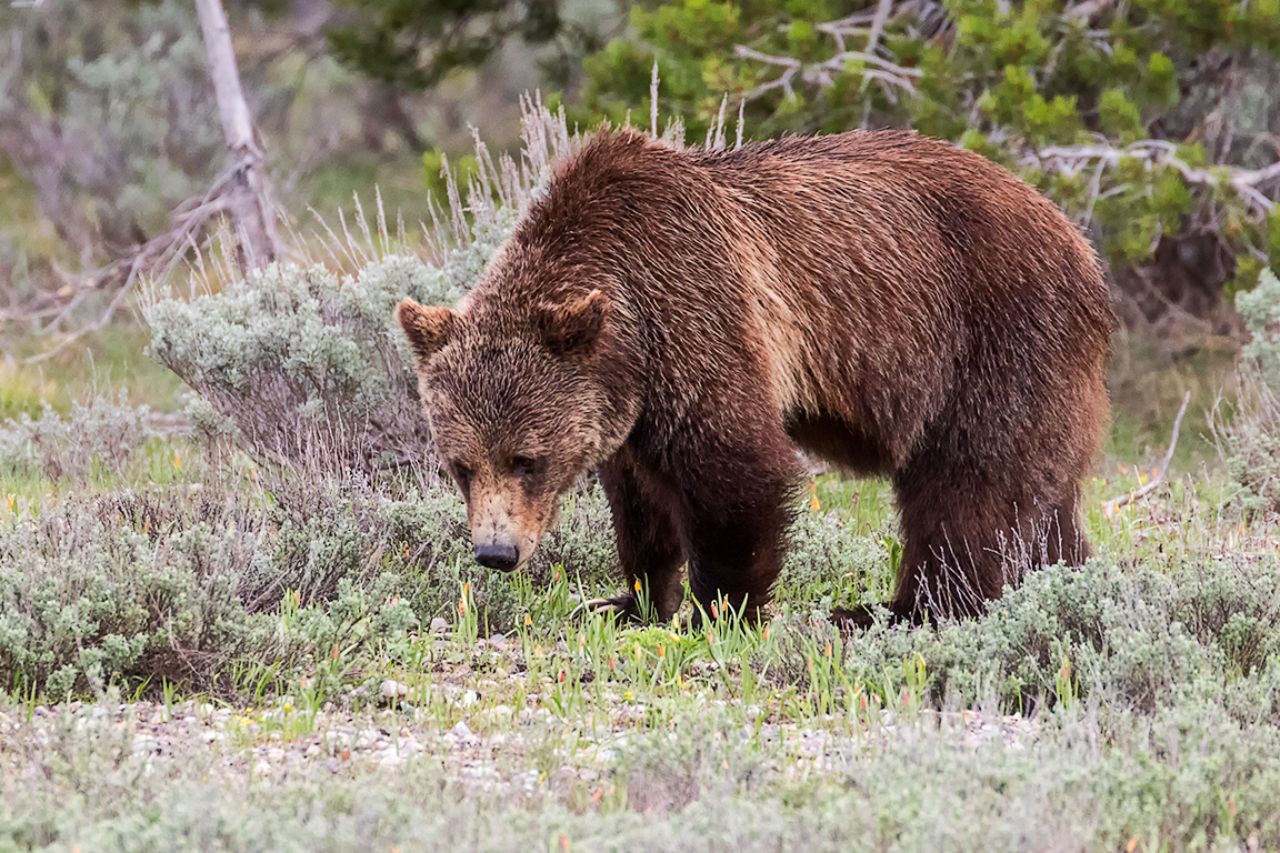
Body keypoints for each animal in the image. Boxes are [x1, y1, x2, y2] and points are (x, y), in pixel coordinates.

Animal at [396, 127, 1114, 626]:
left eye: (527, 458)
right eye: (460, 465)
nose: (496, 552)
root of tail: (1079, 242)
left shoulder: (698, 311)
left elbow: (737, 471)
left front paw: (718, 610)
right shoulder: (626, 399)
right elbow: (639, 499)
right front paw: (629, 601)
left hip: (991, 340)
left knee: (968, 488)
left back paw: (899, 610)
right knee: (1040, 500)